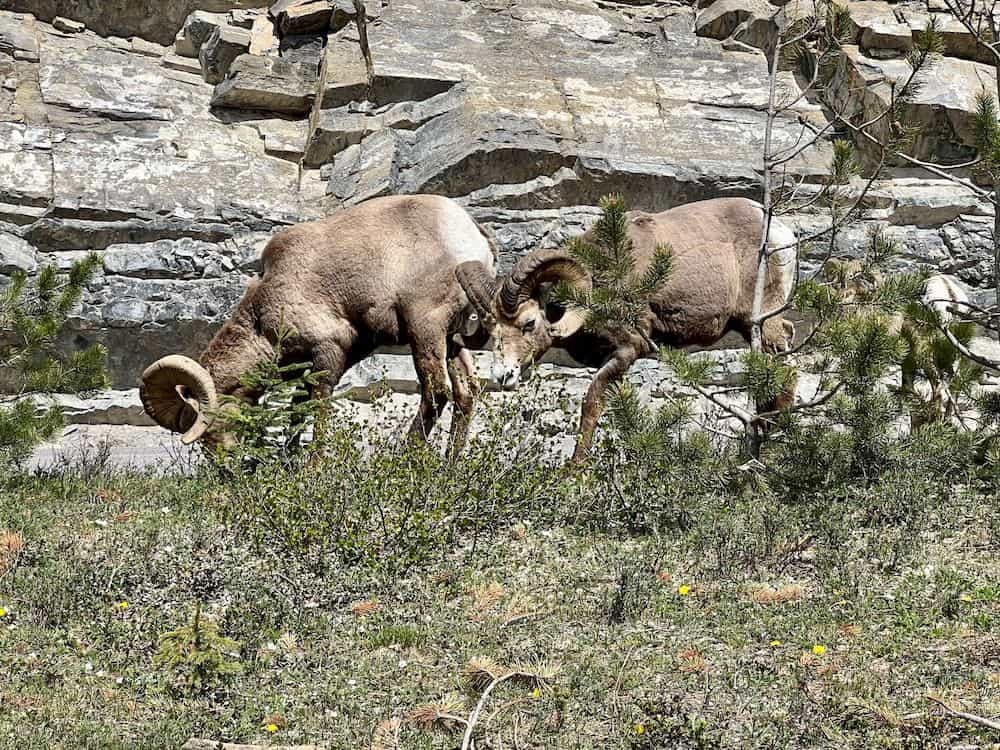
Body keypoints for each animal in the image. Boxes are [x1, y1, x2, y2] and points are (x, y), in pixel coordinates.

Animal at [140, 194, 496, 455]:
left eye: (205, 426)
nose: (227, 468)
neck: (262, 320)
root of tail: (473, 236)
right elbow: (296, 411)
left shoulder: (329, 353)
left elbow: (319, 406)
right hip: (451, 339)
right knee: (466, 393)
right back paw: (449, 463)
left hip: (425, 328)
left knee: (436, 391)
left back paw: (404, 457)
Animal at [455, 197, 798, 462]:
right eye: (491, 329)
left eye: (529, 323)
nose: (503, 376)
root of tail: (779, 232)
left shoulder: (629, 348)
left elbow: (591, 404)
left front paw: (574, 469)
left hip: (763, 320)